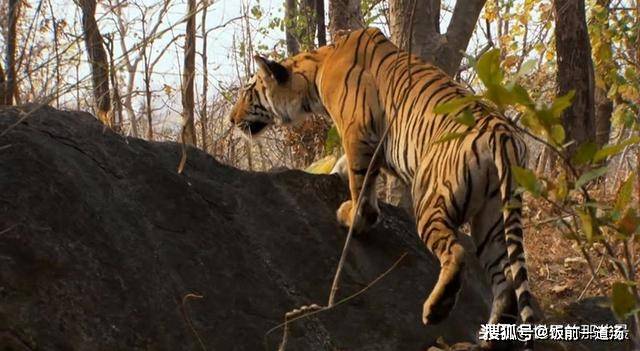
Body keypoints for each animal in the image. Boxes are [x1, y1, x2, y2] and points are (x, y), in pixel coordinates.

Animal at [229, 26, 536, 350]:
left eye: (247, 93)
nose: (231, 119)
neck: (315, 70)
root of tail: (504, 136)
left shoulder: (357, 131)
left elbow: (360, 183)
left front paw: (354, 218)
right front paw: (339, 174)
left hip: (432, 199)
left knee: (456, 253)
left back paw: (436, 310)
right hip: (492, 220)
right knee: (505, 281)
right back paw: (489, 340)